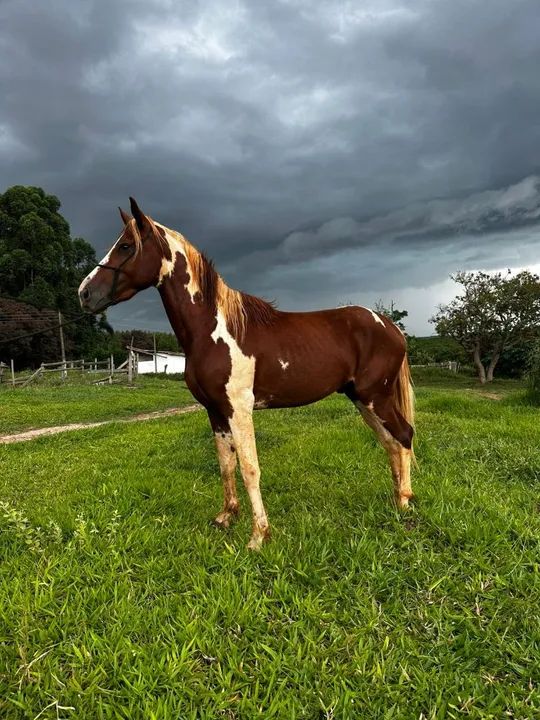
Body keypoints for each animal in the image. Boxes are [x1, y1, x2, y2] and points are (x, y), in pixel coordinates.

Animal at [79, 198, 415, 550]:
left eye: (126, 246)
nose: (84, 294)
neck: (213, 330)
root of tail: (390, 327)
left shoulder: (239, 409)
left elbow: (249, 468)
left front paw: (258, 536)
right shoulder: (215, 411)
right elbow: (226, 465)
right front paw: (226, 517)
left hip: (375, 397)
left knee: (403, 435)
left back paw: (405, 504)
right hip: (362, 399)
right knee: (390, 442)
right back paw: (395, 498)